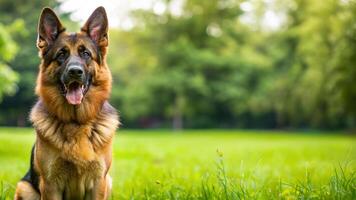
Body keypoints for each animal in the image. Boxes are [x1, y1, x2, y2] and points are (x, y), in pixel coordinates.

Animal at [14, 6, 119, 200]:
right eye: (61, 54)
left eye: (86, 53)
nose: (75, 72)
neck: (75, 122)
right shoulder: (50, 185)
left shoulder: (98, 183)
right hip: (24, 187)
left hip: (108, 182)